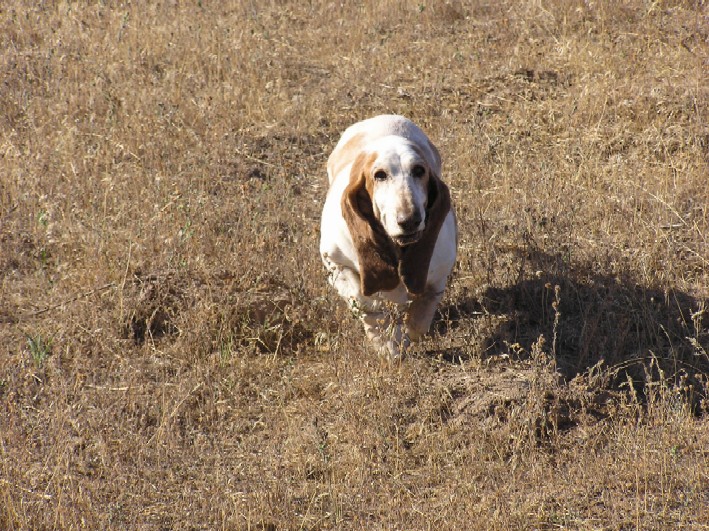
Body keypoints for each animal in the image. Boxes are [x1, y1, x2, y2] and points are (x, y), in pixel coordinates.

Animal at [320, 115, 457, 357]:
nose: (409, 220)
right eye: (379, 175)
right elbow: (366, 303)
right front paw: (387, 345)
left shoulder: (439, 274)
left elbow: (421, 316)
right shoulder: (335, 265)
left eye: (419, 171)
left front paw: (405, 337)